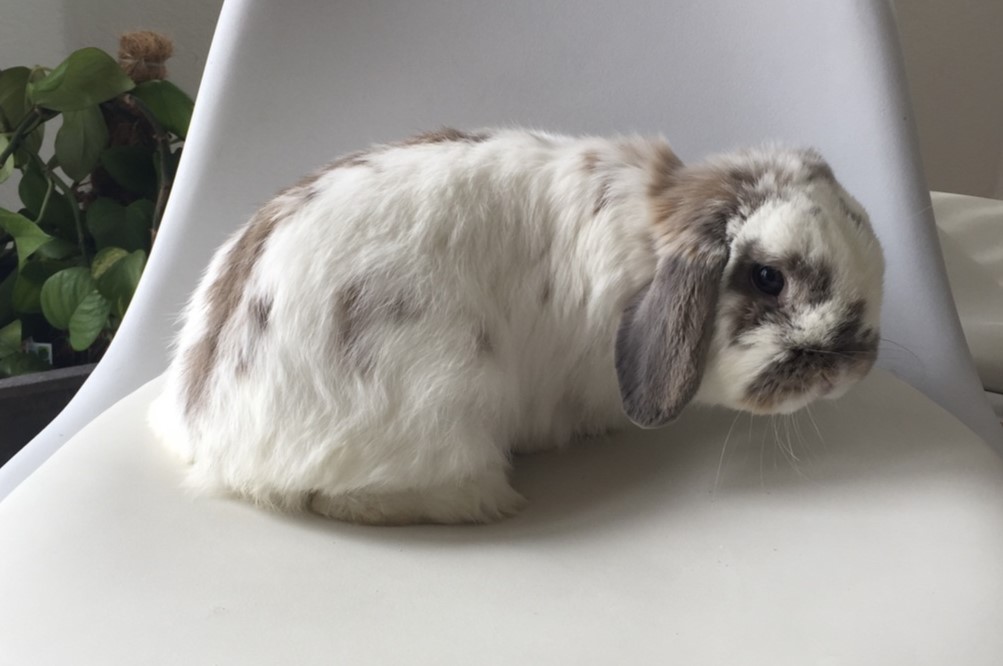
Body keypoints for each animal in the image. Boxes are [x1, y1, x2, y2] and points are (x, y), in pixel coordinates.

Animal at [149, 127, 884, 525]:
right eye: (767, 278)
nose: (851, 365)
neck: (647, 251)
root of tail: (218, 439)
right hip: (441, 401)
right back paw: (478, 505)